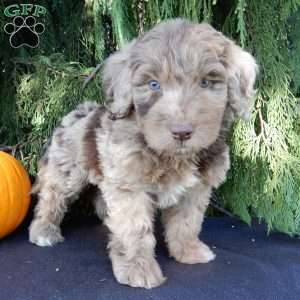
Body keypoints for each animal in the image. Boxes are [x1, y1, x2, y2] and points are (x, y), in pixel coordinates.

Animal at [29, 18, 256, 288]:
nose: (182, 132)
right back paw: (43, 230)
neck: (172, 156)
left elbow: (187, 222)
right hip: (67, 170)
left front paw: (188, 251)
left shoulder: (196, 188)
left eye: (205, 83)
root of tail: (79, 111)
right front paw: (138, 269)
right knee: (52, 196)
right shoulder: (130, 186)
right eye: (153, 84)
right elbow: (134, 230)